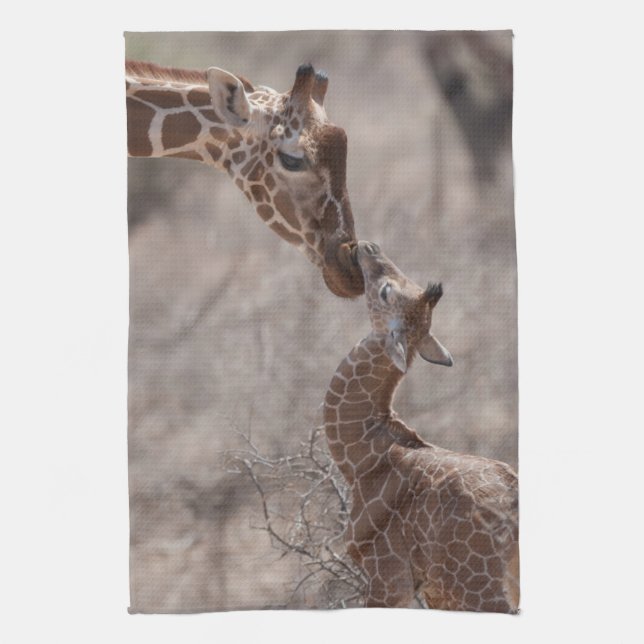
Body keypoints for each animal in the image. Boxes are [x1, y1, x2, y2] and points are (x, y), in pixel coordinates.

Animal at [323, 241, 519, 612]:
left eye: (385, 292)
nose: (368, 247)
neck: (361, 459)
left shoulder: (387, 577)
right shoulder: (432, 590)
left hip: (477, 586)